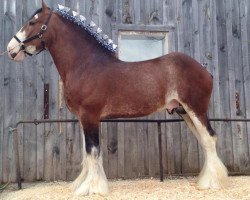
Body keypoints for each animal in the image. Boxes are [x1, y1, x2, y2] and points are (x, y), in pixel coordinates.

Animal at [6, 0, 228, 196]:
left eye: (32, 22)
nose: (10, 49)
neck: (85, 65)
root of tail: (204, 70)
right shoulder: (84, 119)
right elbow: (87, 153)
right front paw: (82, 184)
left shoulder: (90, 116)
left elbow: (92, 151)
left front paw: (92, 189)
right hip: (184, 111)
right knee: (204, 140)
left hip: (196, 110)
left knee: (209, 138)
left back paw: (211, 183)